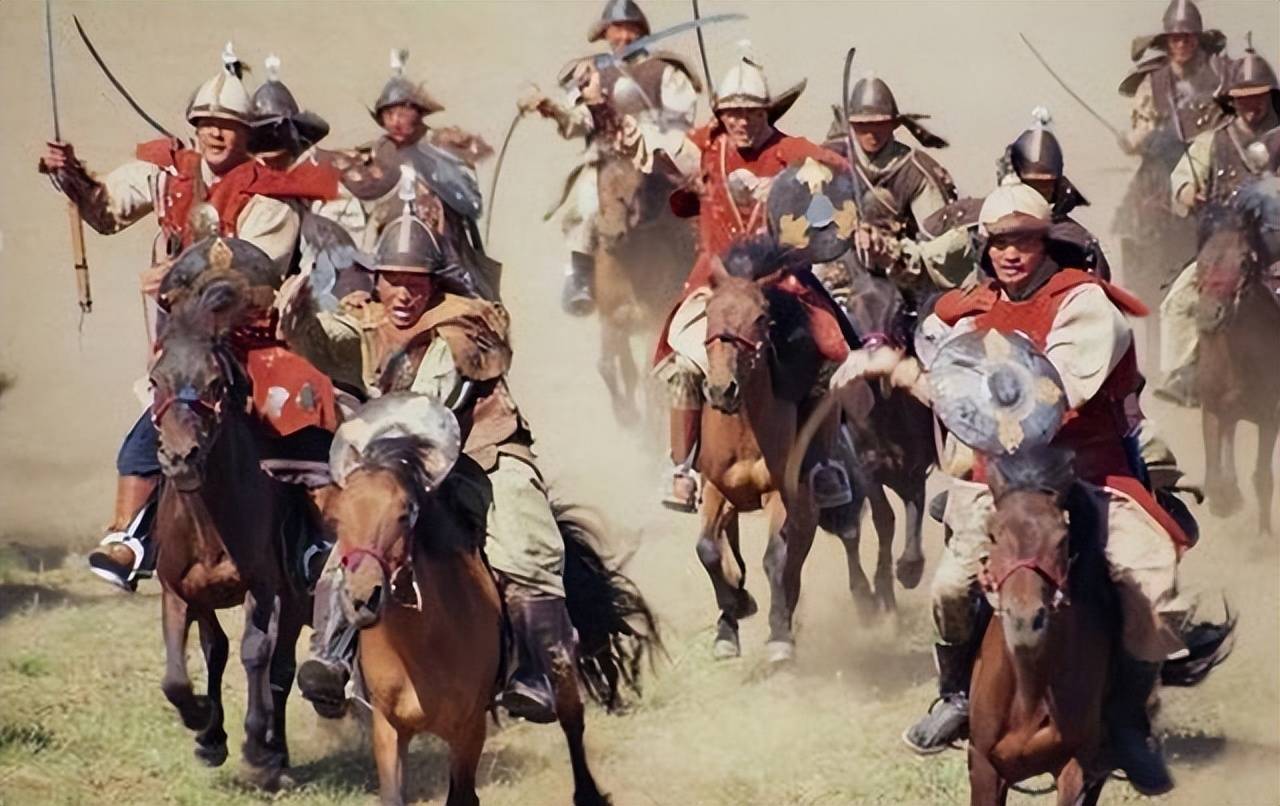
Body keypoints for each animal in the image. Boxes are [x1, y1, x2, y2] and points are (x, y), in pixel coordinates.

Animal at [148, 284, 316, 789]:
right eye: (156, 381)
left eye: (215, 384)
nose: (180, 457)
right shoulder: (181, 592)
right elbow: (186, 670)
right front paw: (205, 727)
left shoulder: (261, 587)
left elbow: (254, 653)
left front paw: (255, 746)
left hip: (294, 597)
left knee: (280, 667)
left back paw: (275, 755)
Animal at [330, 394, 659, 806]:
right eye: (337, 519)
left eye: (405, 514)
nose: (362, 598)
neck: (420, 644)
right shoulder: (388, 728)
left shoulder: (468, 729)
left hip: (560, 665)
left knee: (573, 721)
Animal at [593, 154, 694, 427]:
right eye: (599, 187)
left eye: (635, 191)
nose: (610, 234)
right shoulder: (612, 321)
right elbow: (608, 367)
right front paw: (625, 414)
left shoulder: (656, 324)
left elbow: (645, 376)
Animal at [969, 446, 1236, 806]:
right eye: (993, 535)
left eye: (1061, 538)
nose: (1025, 620)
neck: (1030, 689)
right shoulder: (984, 766)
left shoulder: (1077, 769)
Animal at [1194, 198, 1280, 533]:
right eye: (1201, 261)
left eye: (1244, 262)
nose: (1209, 315)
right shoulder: (1212, 409)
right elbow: (1213, 476)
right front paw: (1225, 500)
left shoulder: (1270, 419)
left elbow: (1263, 479)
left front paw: (1264, 536)